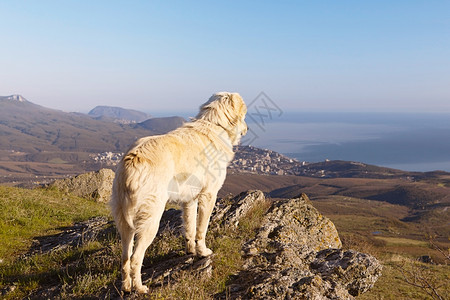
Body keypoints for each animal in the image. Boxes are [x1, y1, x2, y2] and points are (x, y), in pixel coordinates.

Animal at [110, 92, 248, 292]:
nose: (246, 129)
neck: (214, 124)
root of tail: (132, 160)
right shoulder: (208, 196)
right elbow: (201, 229)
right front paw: (203, 252)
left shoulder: (189, 200)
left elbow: (190, 228)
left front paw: (191, 250)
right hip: (150, 221)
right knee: (136, 258)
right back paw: (140, 287)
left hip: (124, 223)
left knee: (124, 258)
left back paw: (126, 287)